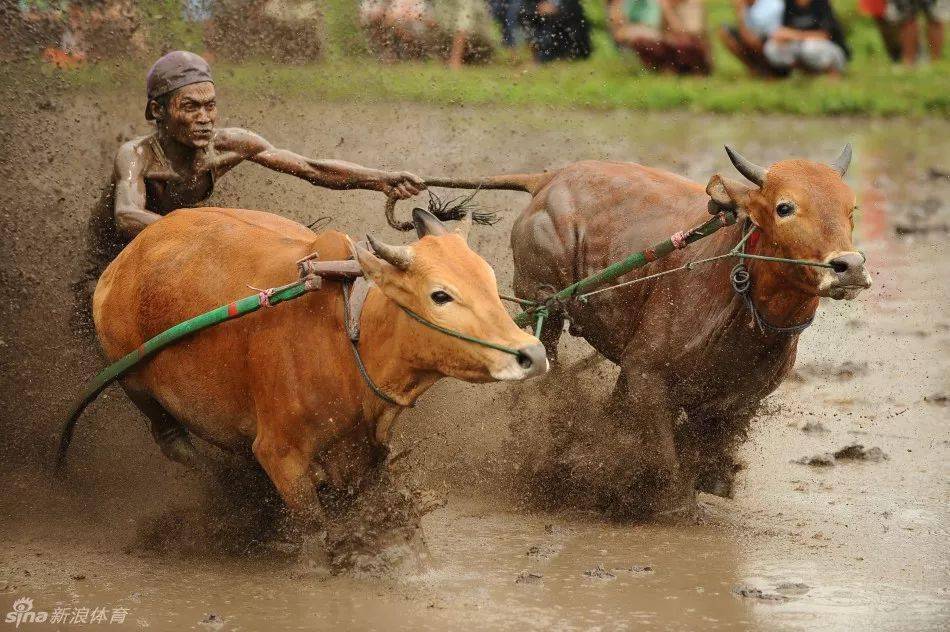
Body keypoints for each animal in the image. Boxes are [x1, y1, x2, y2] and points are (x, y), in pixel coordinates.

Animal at [91, 207, 552, 552]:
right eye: (440, 295)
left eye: (489, 279)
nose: (532, 354)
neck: (350, 338)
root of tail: (128, 257)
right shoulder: (281, 456)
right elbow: (315, 536)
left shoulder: (365, 457)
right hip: (131, 376)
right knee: (164, 428)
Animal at [406, 148, 872, 520]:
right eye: (785, 207)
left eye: (851, 209)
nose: (848, 266)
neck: (741, 296)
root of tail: (550, 178)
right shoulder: (647, 372)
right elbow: (664, 455)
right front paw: (672, 506)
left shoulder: (740, 398)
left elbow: (701, 452)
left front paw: (710, 483)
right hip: (542, 301)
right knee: (542, 371)